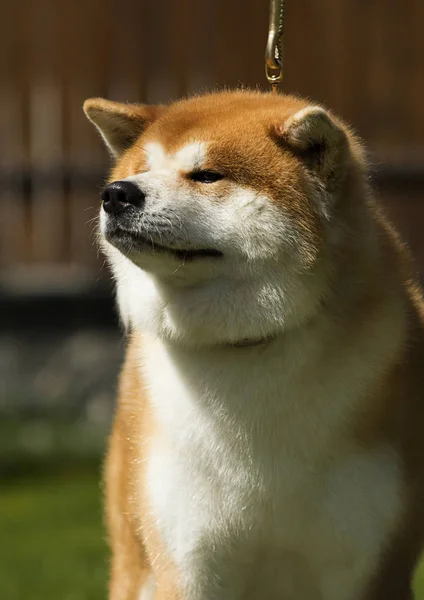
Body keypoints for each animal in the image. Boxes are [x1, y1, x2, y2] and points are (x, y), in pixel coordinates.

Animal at [83, 90, 424, 600]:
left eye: (207, 175)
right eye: (141, 169)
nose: (118, 193)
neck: (244, 345)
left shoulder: (367, 561)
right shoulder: (188, 562)